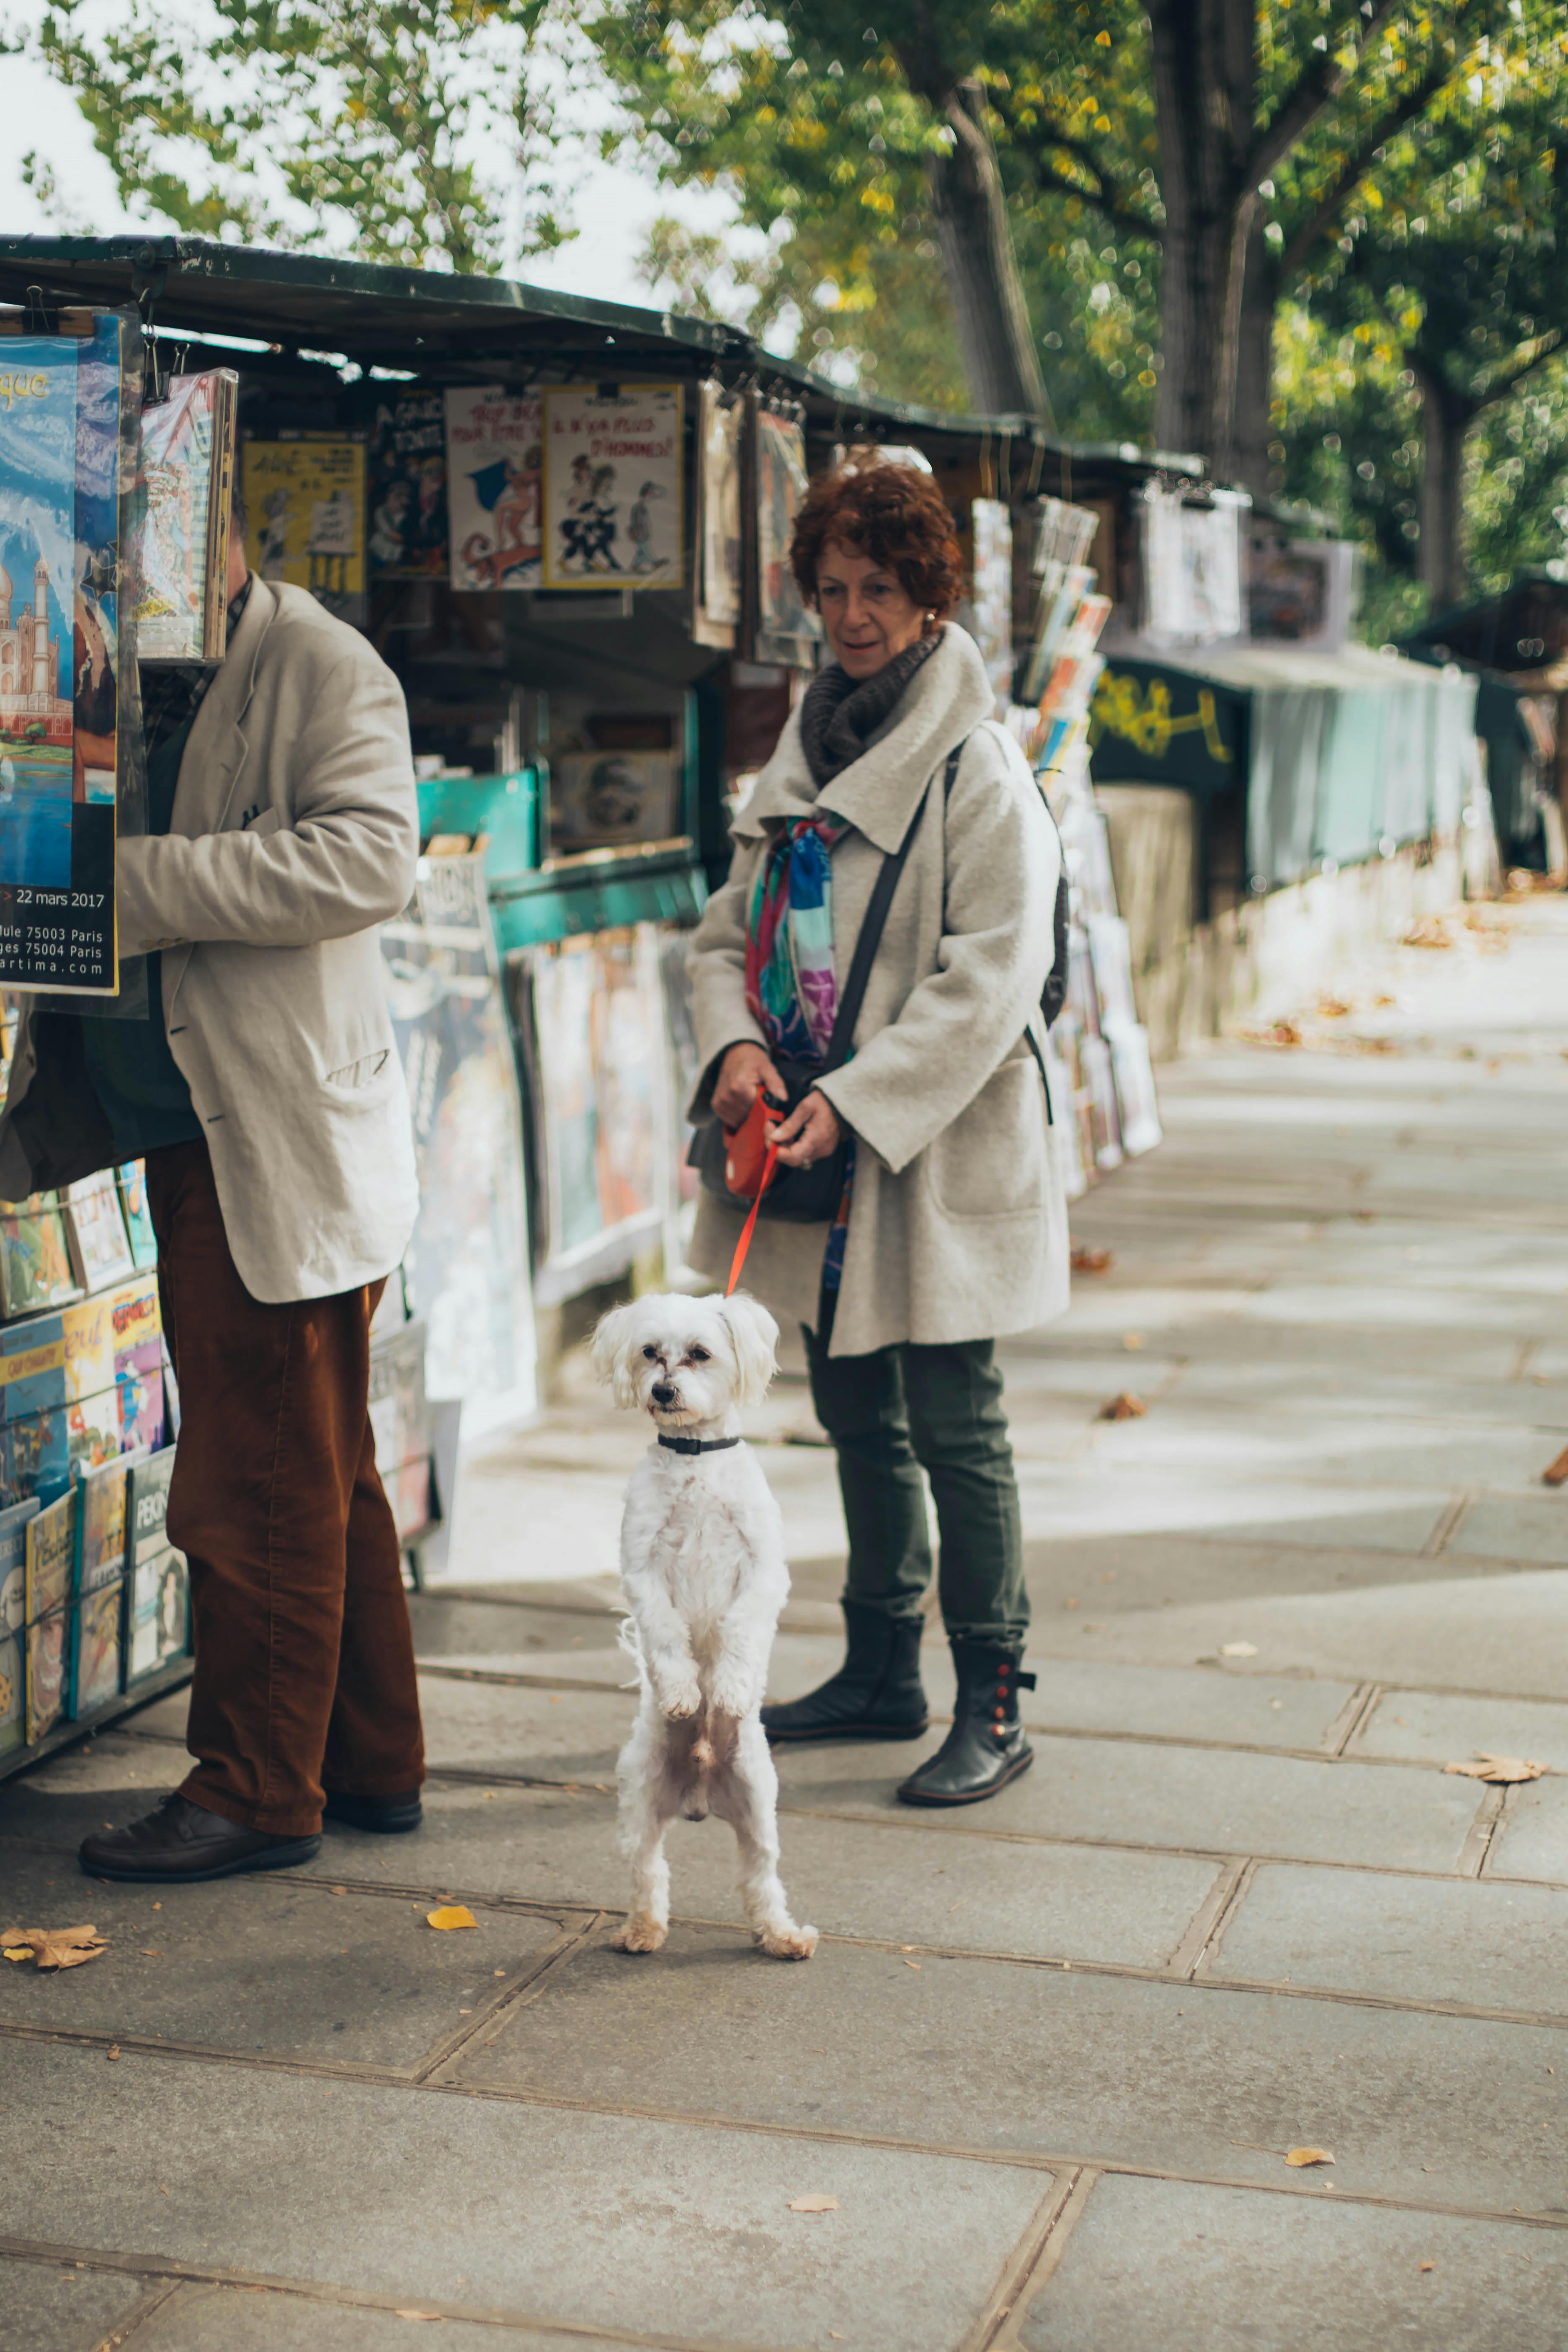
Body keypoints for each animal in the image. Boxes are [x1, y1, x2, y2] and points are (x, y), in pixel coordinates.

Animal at [592, 1298, 823, 1957]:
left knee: (760, 1876)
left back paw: (782, 1936)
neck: (694, 1459)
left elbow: (739, 1631)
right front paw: (681, 1693)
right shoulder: (642, 1570)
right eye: (650, 1352)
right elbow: (668, 1636)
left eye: (699, 1353)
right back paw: (642, 1930)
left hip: (758, 1803)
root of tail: (698, 1792)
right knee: (648, 1871)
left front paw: (726, 1690)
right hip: (640, 1798)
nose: (663, 1390)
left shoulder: (764, 1571)